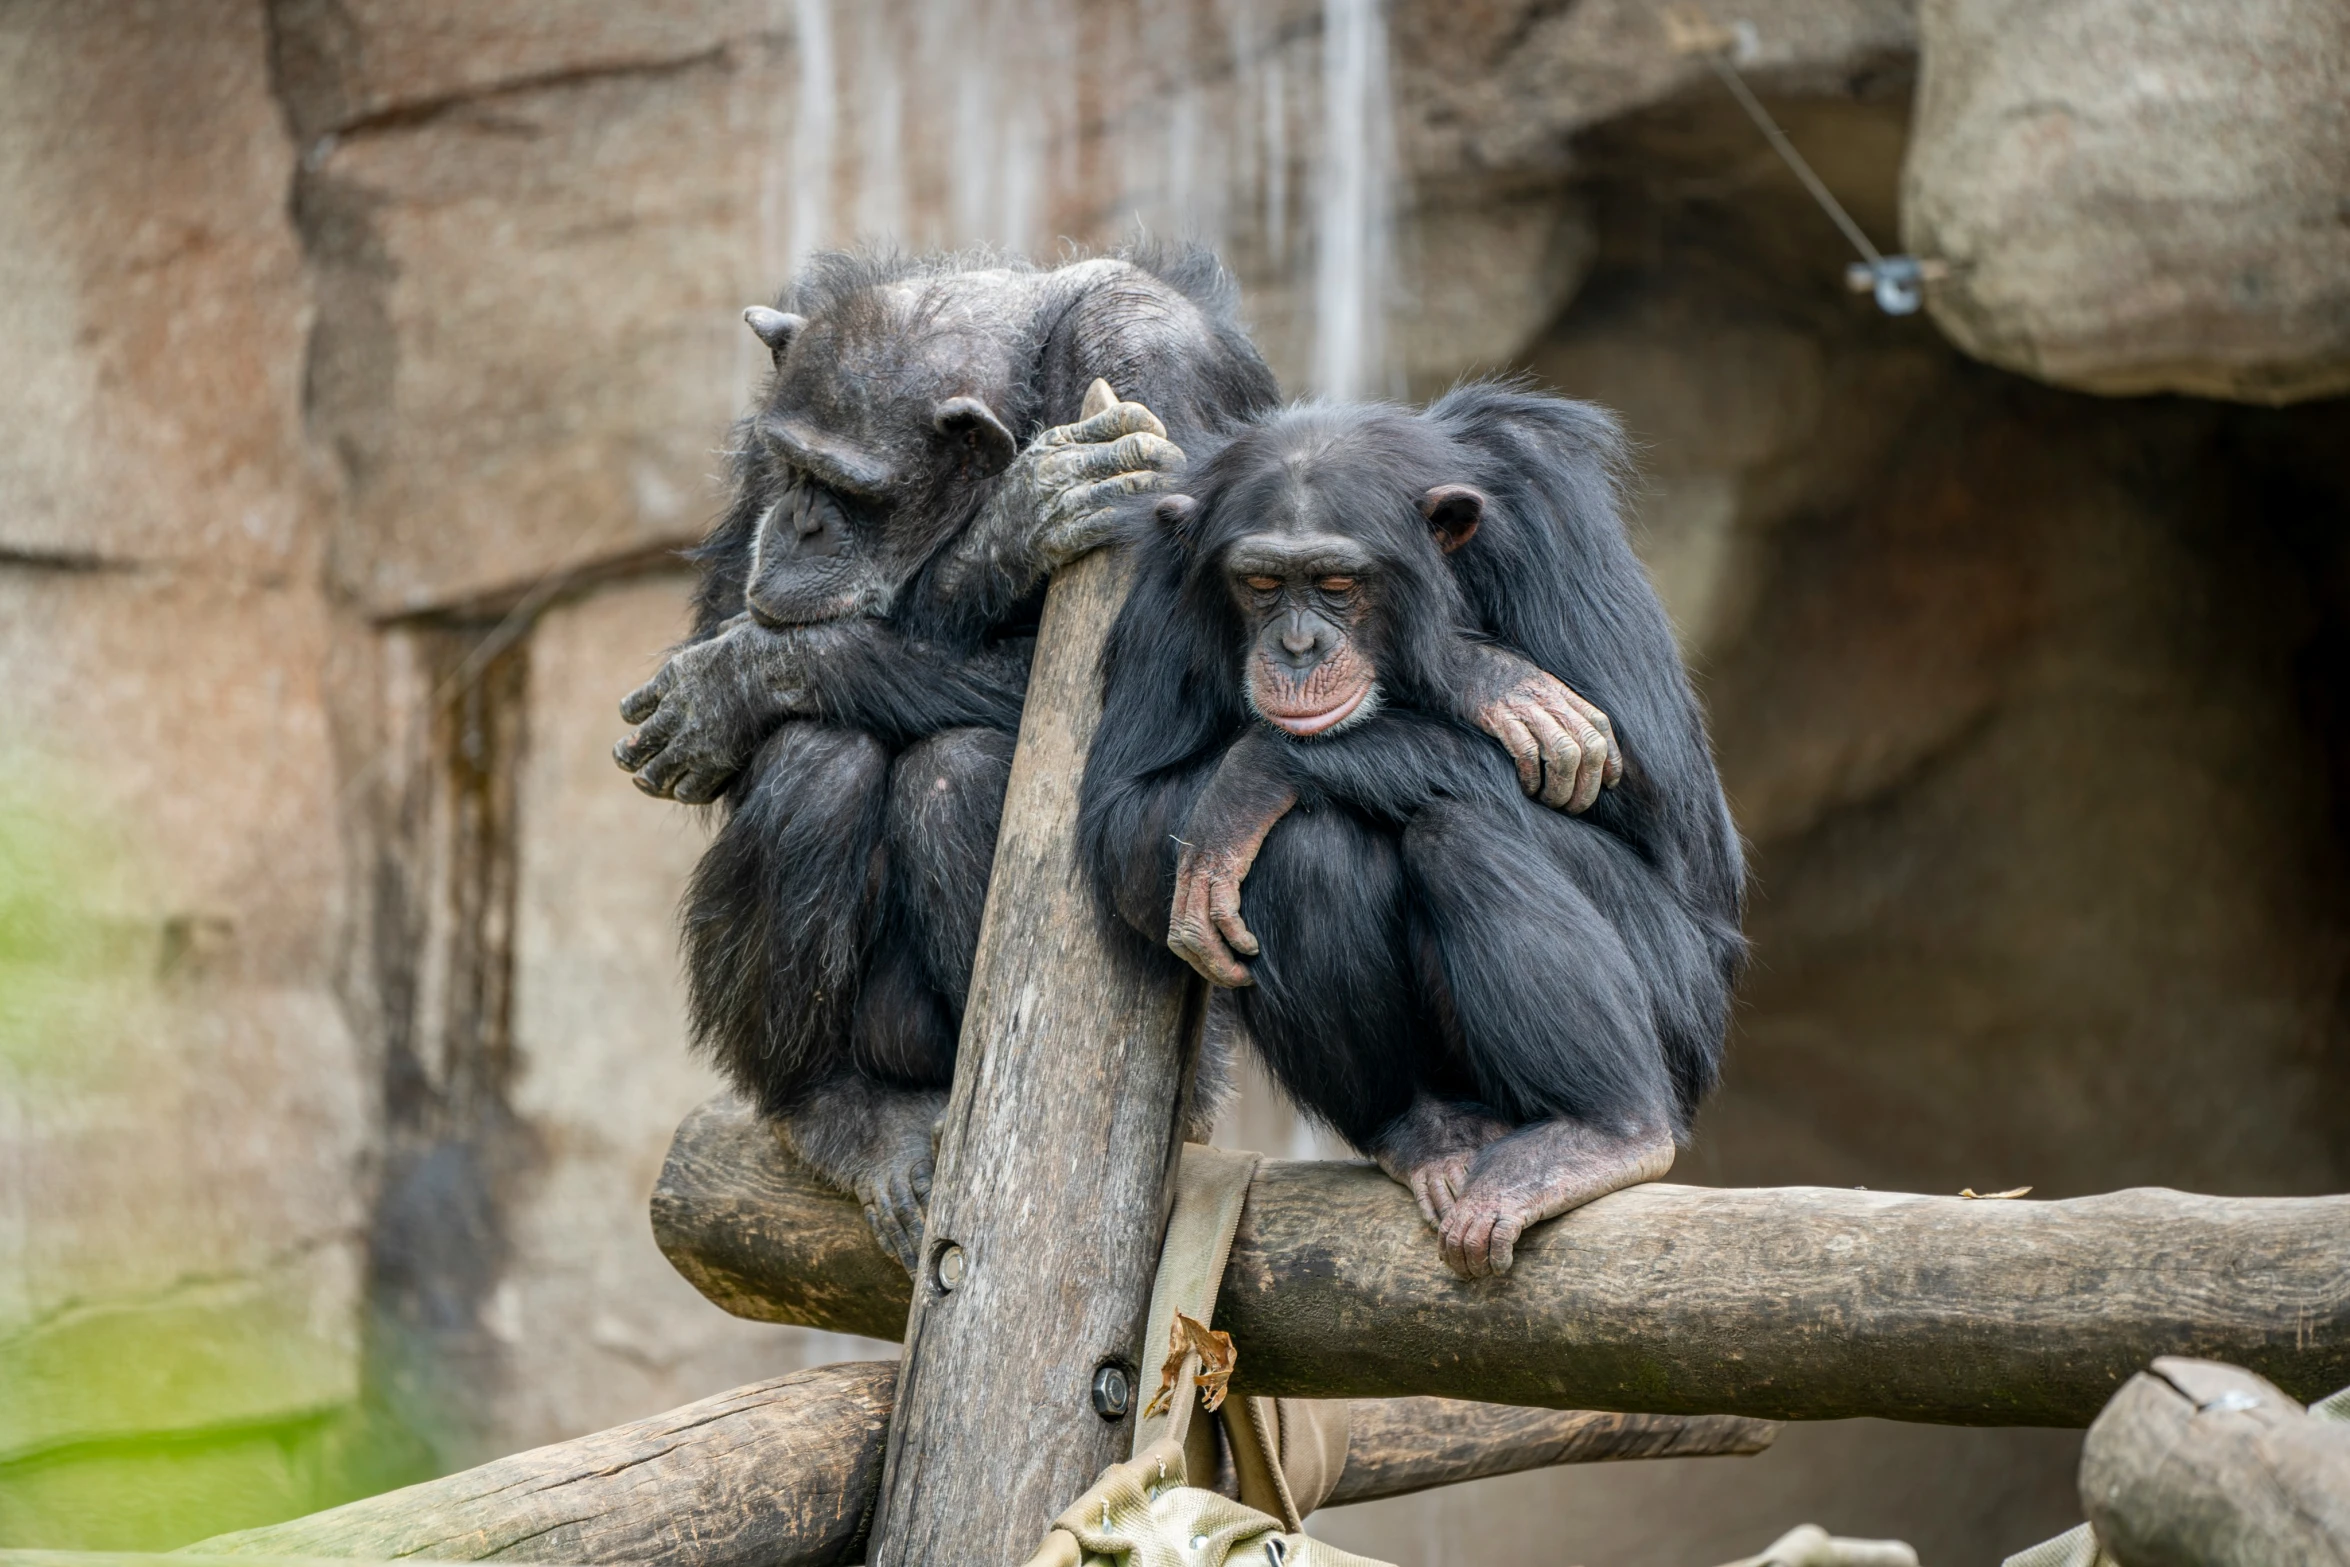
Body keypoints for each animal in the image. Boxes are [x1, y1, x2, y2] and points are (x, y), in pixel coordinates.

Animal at [1081, 380, 1748, 1278]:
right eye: (1260, 583)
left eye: (1336, 581)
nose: (1297, 645)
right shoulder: (1161, 576)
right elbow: (1121, 816)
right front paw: (1479, 673)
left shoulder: (1555, 514)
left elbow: (1668, 805)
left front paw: (1462, 672)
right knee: (1302, 851)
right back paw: (1423, 1129)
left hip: (1684, 1010)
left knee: (1456, 833)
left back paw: (1601, 1134)